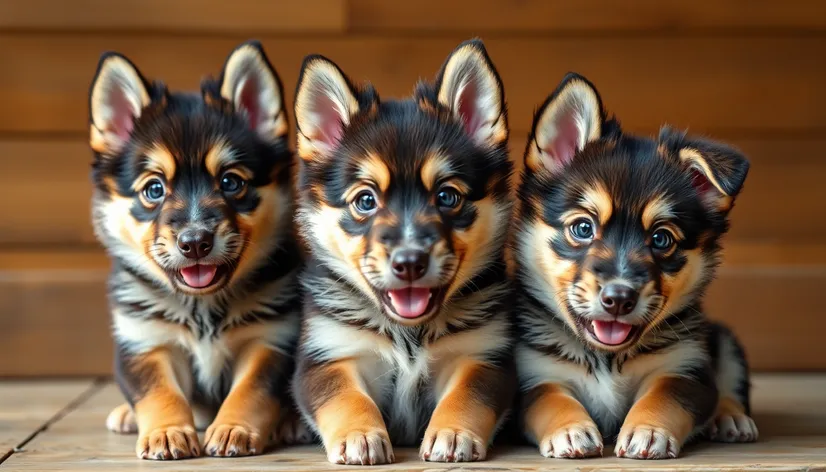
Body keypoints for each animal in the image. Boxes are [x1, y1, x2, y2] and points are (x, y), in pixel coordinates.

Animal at [88, 42, 306, 460]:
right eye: (154, 189)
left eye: (231, 182)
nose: (194, 243)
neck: (203, 308)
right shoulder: (145, 341)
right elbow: (159, 394)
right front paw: (167, 433)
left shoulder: (270, 340)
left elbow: (251, 392)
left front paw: (234, 428)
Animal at [292, 39, 516, 464]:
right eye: (365, 201)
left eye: (447, 197)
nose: (410, 262)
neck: (408, 334)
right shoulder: (330, 355)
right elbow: (346, 398)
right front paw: (360, 435)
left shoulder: (482, 356)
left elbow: (467, 396)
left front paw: (454, 432)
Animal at [512, 74, 756, 460]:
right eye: (583, 228)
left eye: (661, 239)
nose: (619, 298)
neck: (607, 359)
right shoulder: (535, 374)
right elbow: (551, 399)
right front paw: (569, 431)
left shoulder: (685, 368)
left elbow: (664, 396)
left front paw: (648, 430)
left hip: (724, 339)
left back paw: (731, 418)